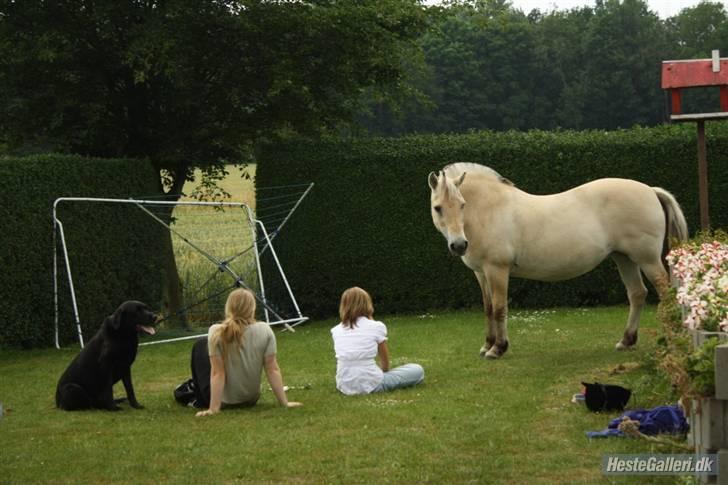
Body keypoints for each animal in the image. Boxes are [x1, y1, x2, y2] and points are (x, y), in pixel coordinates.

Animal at [430, 164, 692, 358]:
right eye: (438, 207)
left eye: (462, 205)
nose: (459, 245)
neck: (490, 209)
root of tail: (650, 190)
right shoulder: (481, 273)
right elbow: (488, 308)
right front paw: (487, 345)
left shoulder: (497, 270)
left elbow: (499, 307)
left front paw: (498, 348)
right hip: (624, 259)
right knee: (637, 294)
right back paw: (626, 341)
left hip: (647, 260)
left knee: (665, 293)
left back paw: (672, 339)